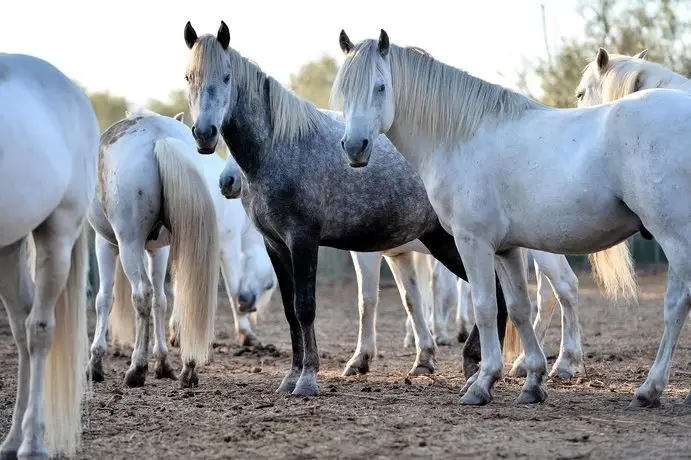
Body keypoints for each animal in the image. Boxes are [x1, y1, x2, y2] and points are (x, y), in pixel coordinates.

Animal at [88, 109, 219, 390]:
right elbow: (161, 300)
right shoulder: (158, 250)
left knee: (142, 294)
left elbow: (104, 299)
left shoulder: (105, 243)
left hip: (128, 244)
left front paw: (95, 363)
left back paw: (137, 368)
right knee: (175, 296)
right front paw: (162, 363)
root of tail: (159, 136)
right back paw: (188, 369)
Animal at [181, 22, 516, 396]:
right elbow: (289, 310)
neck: (279, 148)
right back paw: (474, 366)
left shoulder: (303, 240)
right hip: (443, 242)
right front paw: (290, 377)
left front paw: (308, 378)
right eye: (189, 77)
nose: (205, 134)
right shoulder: (276, 245)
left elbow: (305, 308)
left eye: (226, 77)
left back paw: (481, 371)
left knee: (493, 295)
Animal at [328, 30, 691, 408]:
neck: (461, 137)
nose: (354, 147)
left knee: (677, 303)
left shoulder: (473, 242)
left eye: (381, 86)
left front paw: (482, 382)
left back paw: (649, 389)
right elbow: (519, 308)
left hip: (675, 236)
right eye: (344, 89)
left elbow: (485, 306)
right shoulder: (506, 249)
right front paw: (532, 381)